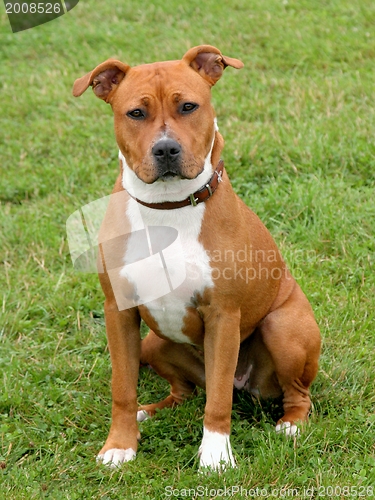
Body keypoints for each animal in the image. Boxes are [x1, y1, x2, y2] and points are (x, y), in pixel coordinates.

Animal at [74, 45, 324, 470]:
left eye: (189, 106)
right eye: (135, 113)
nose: (166, 149)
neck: (166, 208)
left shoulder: (222, 316)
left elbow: (219, 399)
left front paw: (216, 456)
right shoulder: (119, 311)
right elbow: (122, 386)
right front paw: (120, 444)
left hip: (283, 328)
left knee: (292, 393)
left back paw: (291, 424)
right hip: (152, 344)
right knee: (185, 391)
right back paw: (151, 410)